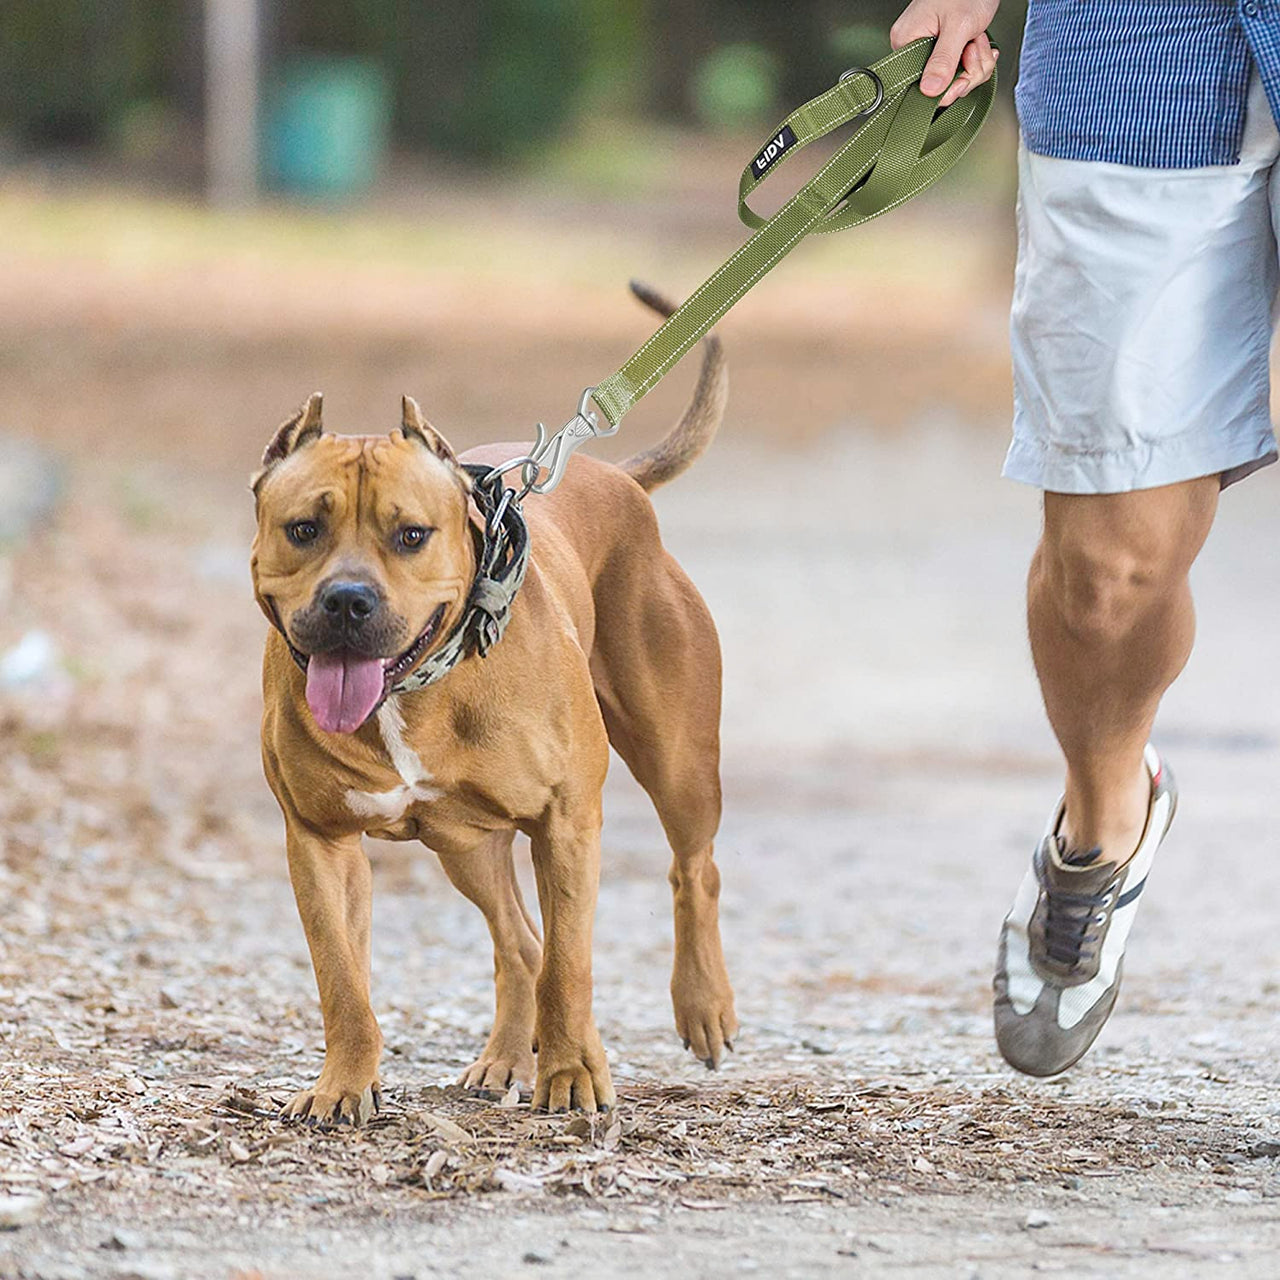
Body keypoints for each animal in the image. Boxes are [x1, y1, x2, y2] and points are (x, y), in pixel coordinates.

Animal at [248, 288, 737, 1121]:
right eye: (303, 529)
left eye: (412, 535)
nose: (347, 601)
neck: (414, 692)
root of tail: (615, 476)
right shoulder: (319, 841)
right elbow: (342, 979)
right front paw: (343, 1084)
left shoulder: (566, 823)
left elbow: (573, 965)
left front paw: (570, 1076)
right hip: (465, 844)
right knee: (520, 942)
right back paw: (507, 1056)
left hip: (678, 764)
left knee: (690, 870)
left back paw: (701, 1006)